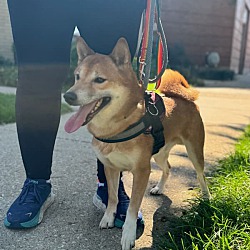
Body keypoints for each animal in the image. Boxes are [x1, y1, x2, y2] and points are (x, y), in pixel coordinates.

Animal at [63, 37, 210, 250]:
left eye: (99, 79)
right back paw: (159, 188)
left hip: (194, 151)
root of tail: (185, 98)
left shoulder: (141, 170)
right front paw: (108, 217)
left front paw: (128, 234)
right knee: (168, 168)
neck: (117, 127)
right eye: (77, 77)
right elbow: (113, 197)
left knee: (200, 174)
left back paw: (207, 197)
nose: (68, 95)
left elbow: (133, 207)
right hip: (159, 154)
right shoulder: (110, 167)